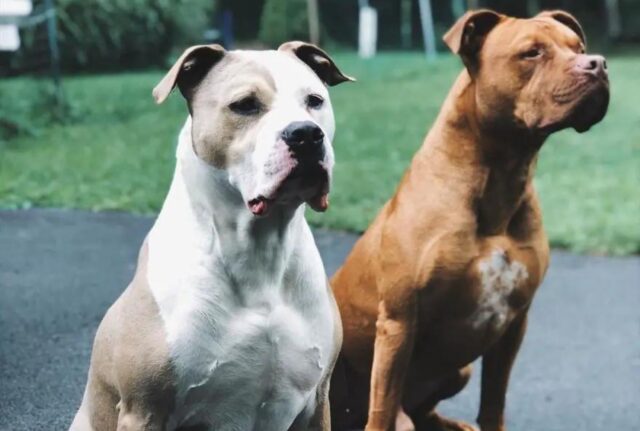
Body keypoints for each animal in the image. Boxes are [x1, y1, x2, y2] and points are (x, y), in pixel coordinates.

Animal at [330, 7, 608, 431]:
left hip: (460, 370)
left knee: (419, 410)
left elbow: (493, 401)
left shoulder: (514, 322)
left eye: (578, 47)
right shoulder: (399, 321)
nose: (598, 64)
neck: (502, 174)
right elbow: (382, 411)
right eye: (531, 53)